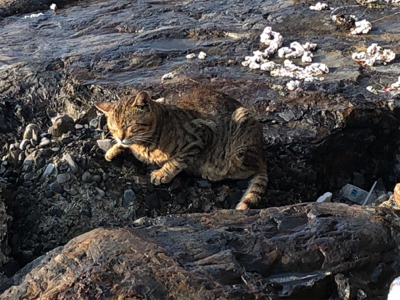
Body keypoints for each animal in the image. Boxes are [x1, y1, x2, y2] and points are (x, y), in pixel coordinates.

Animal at [95, 87, 268, 209]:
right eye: (113, 128)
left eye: (129, 126)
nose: (120, 137)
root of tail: (261, 154)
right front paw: (113, 149)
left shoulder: (200, 134)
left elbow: (177, 160)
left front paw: (162, 173)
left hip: (241, 132)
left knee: (246, 168)